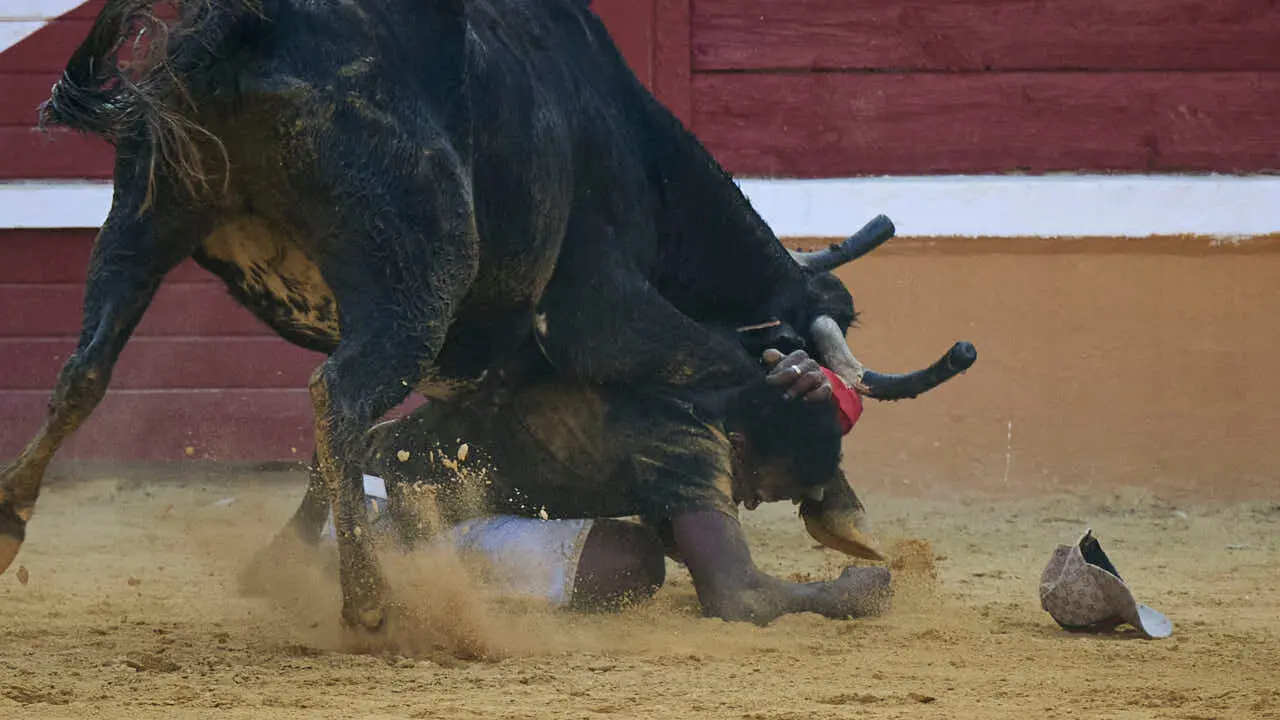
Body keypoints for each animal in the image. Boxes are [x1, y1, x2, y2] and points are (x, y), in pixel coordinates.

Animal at [0, 0, 976, 632]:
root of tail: (255, 28)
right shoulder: (601, 311)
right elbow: (726, 371)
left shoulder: (494, 369)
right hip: (418, 272)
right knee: (336, 394)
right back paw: (369, 604)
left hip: (144, 217)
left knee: (85, 372)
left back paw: (13, 524)